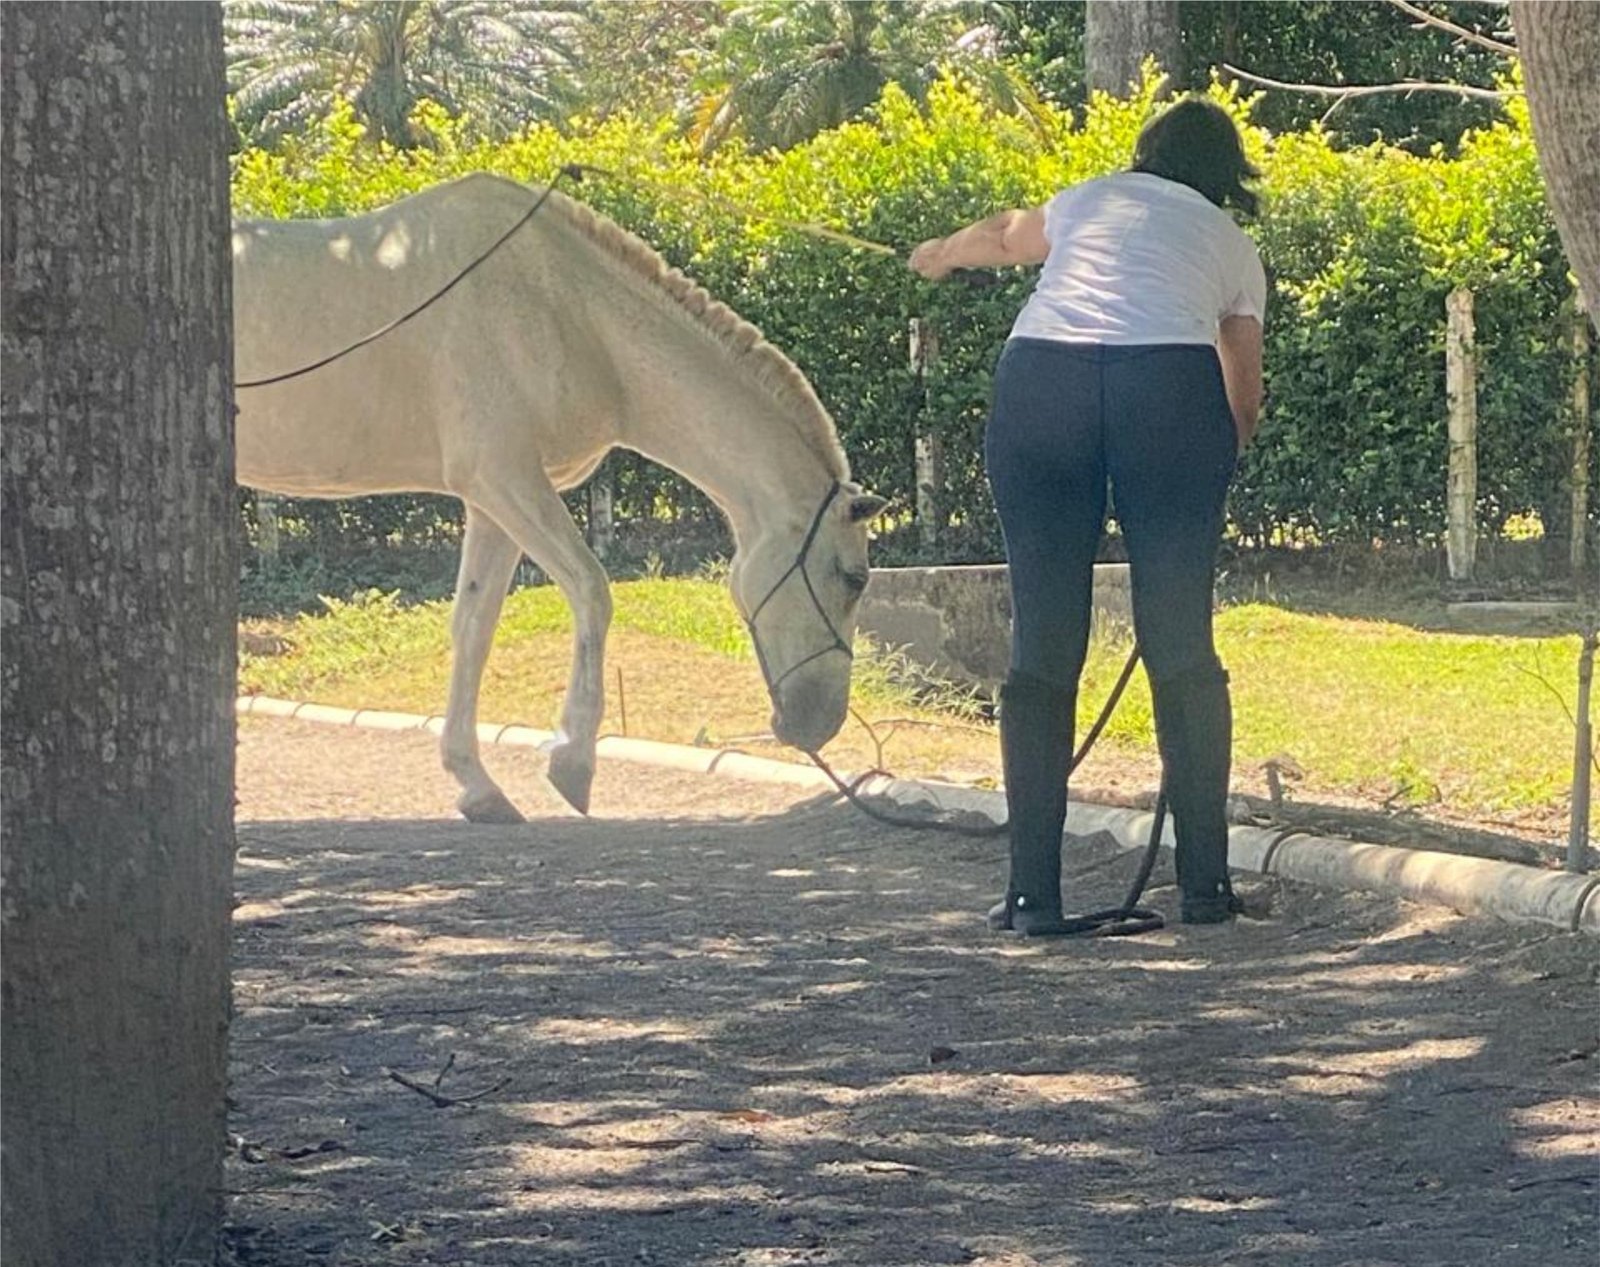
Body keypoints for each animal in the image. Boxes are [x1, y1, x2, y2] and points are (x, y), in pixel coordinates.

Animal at [233, 172, 885, 823]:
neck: (566, 310)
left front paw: (477, 786)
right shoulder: (506, 479)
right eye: (853, 578)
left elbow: (474, 626)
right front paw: (572, 761)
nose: (818, 726)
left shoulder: (491, 503)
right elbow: (592, 590)